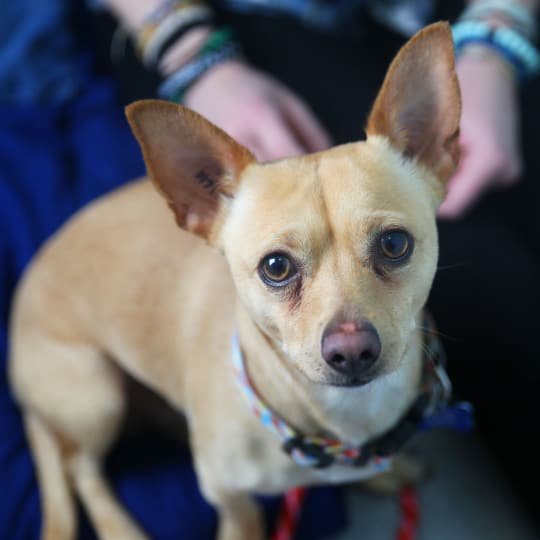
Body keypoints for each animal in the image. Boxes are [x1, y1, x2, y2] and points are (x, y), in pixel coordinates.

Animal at [8, 21, 460, 540]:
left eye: (394, 244)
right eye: (276, 267)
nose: (351, 351)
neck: (342, 423)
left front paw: (384, 473)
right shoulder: (224, 492)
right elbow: (243, 518)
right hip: (97, 395)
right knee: (79, 466)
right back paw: (121, 526)